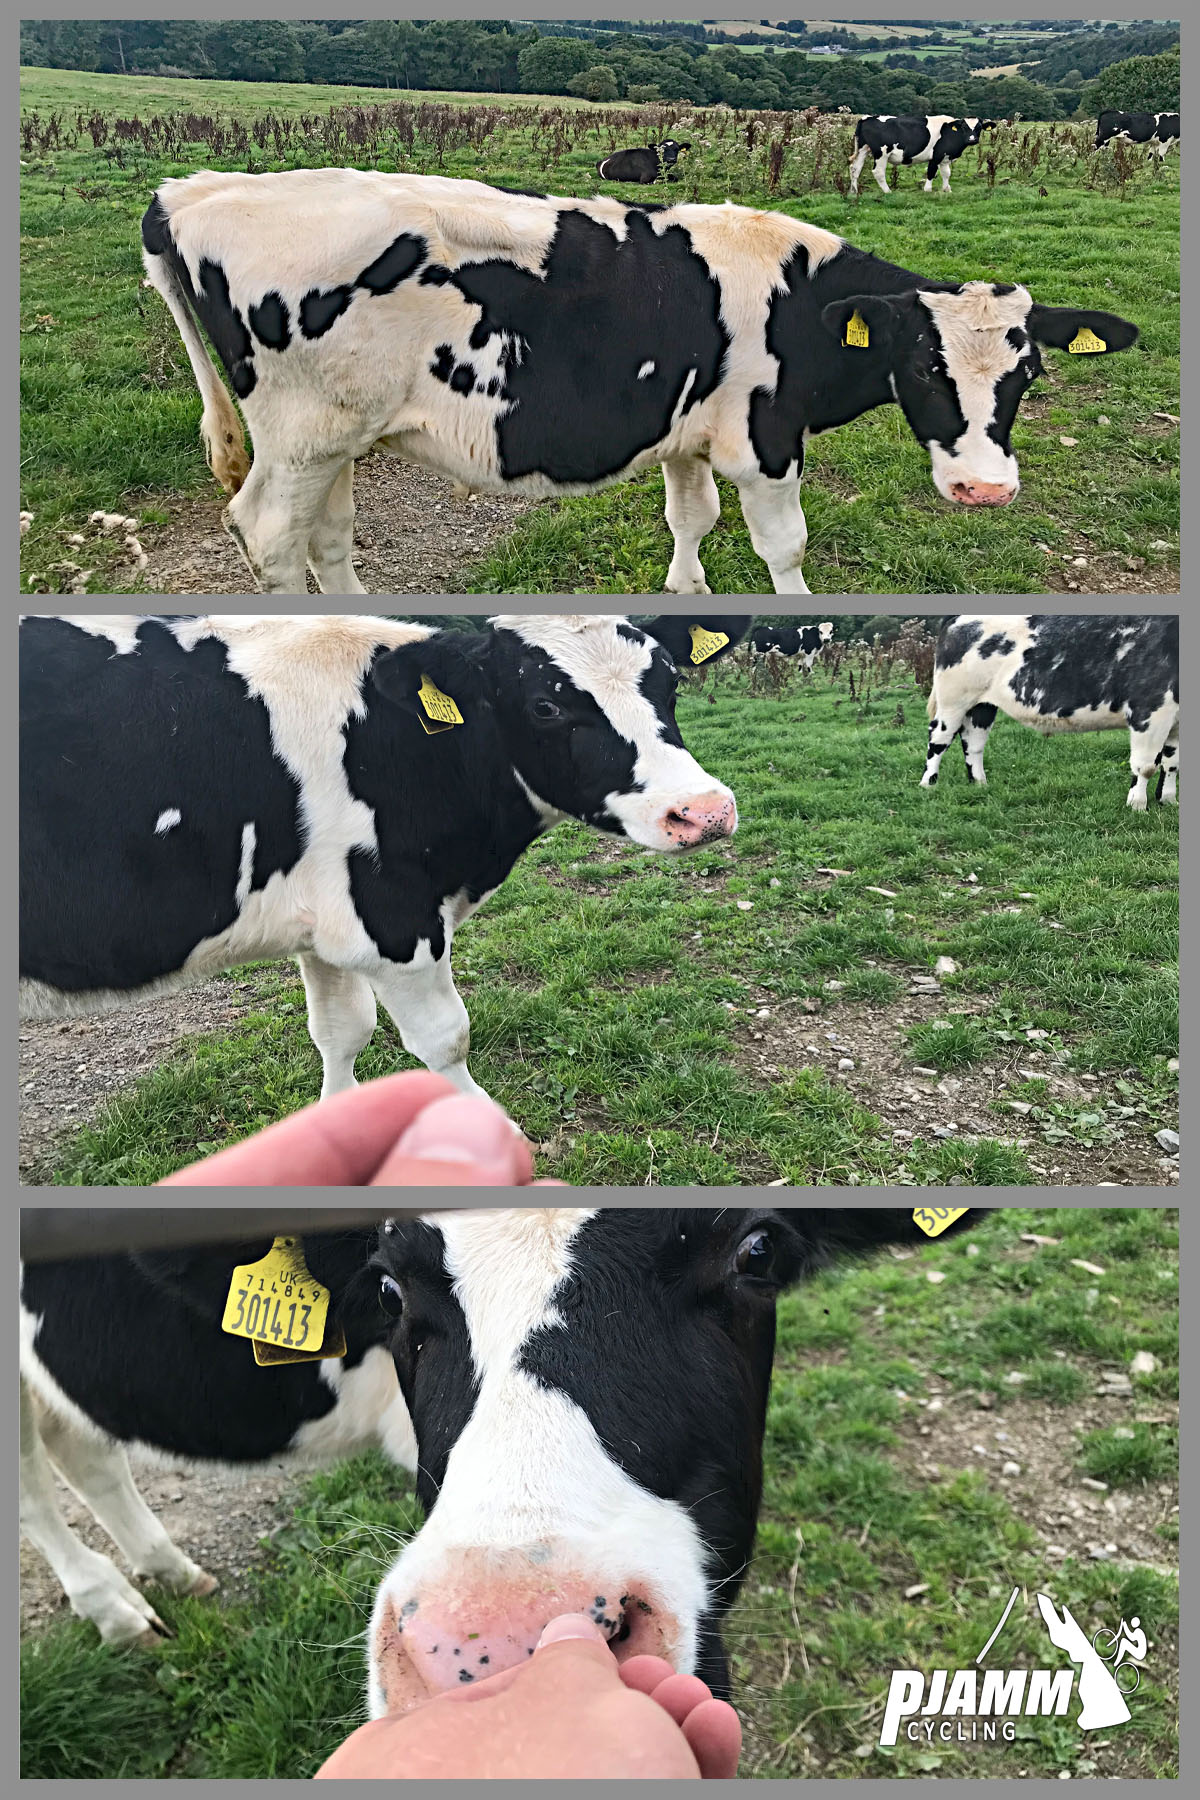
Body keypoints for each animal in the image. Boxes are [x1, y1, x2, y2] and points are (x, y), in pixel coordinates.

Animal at [19, 612, 748, 1108]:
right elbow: (444, 1040)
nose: (704, 810)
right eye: (545, 704)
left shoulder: (325, 921)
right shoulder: (392, 917)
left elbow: (341, 1031)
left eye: (670, 683)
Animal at [19, 1206, 979, 1710]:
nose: (500, 1647)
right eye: (388, 1289)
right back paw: (114, 1609)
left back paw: (169, 1573)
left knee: (81, 1447)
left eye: (757, 1250)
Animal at [141, 169, 1140, 596]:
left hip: (337, 435)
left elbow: (689, 519)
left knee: (329, 535)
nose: (986, 489)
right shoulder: (763, 441)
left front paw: (685, 595)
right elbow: (785, 549)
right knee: (270, 535)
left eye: (1028, 371)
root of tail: (193, 190)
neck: (800, 297)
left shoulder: (687, 431)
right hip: (302, 436)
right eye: (926, 367)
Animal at [849, 115, 998, 196]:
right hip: (882, 153)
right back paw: (887, 191)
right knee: (878, 172)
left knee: (854, 168)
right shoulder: (936, 156)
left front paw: (947, 189)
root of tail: (867, 118)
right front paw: (928, 189)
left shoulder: (945, 157)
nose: (972, 139)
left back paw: (854, 191)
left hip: (863, 148)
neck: (950, 131)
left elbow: (946, 173)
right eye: (964, 127)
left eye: (979, 127)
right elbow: (931, 172)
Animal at [920, 615, 1179, 810]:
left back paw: (979, 783)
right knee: (939, 738)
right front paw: (1137, 806)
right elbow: (1146, 765)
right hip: (953, 699)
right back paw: (928, 784)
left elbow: (1171, 763)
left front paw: (1168, 800)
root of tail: (956, 619)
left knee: (973, 741)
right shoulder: (1149, 709)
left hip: (982, 705)